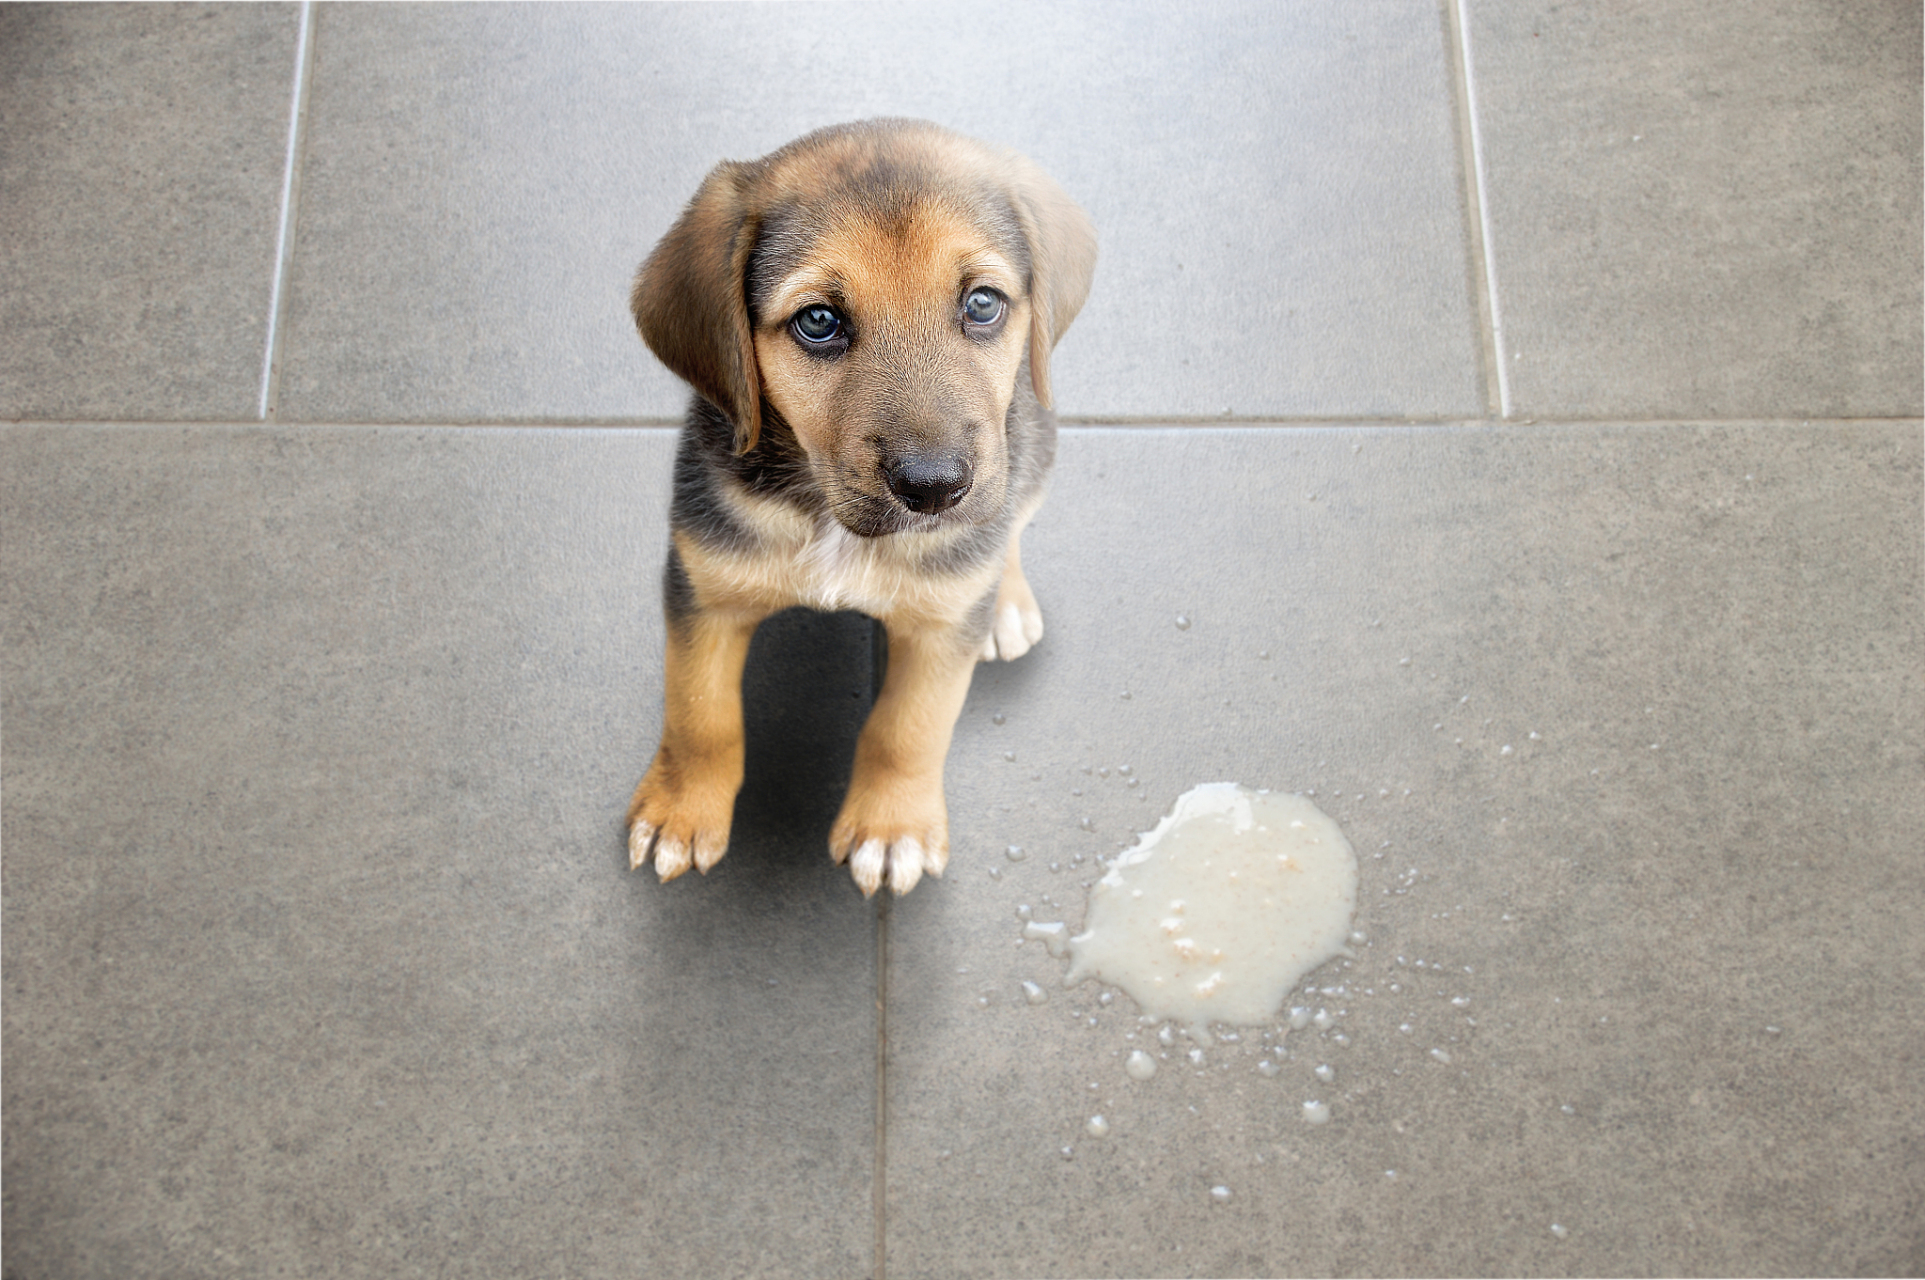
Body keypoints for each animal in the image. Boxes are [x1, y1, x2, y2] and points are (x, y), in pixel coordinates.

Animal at [623, 119, 1093, 896]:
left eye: (982, 304)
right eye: (818, 321)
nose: (935, 489)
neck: (827, 519)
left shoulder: (940, 630)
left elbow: (908, 728)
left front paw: (891, 827)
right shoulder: (702, 588)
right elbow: (699, 714)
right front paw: (681, 811)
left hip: (1032, 451)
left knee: (1011, 525)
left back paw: (1006, 602)